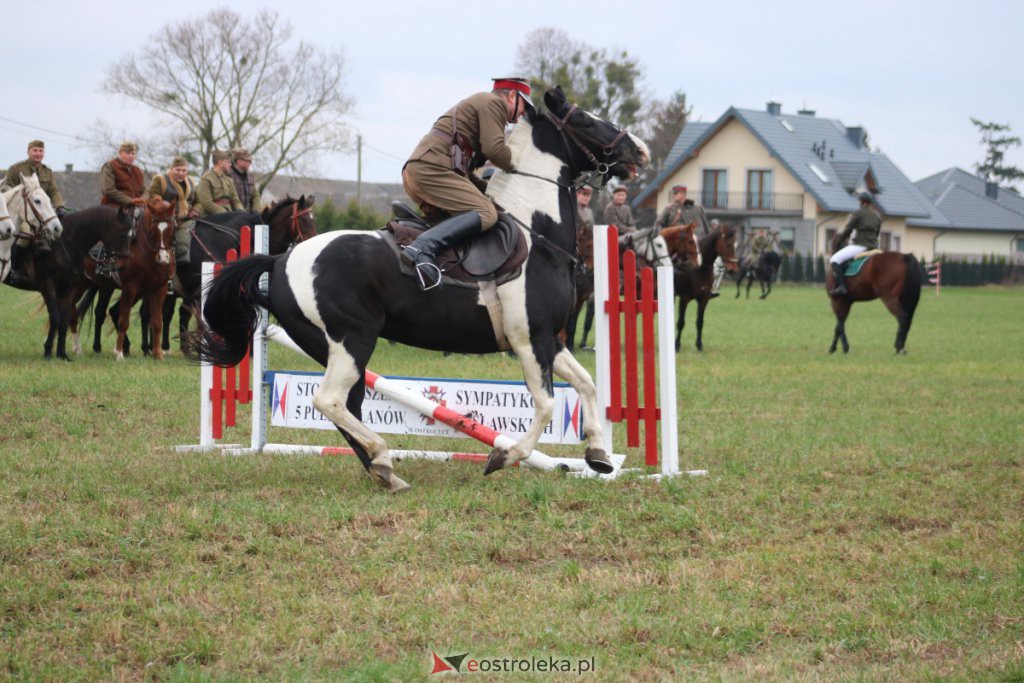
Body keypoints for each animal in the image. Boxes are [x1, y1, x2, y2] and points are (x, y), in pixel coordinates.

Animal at [192, 89, 647, 491]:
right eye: (587, 120)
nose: (640, 151)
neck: (536, 232)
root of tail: (280, 260)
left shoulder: (551, 339)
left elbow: (587, 384)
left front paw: (598, 455)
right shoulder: (529, 340)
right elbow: (548, 403)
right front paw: (504, 456)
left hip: (331, 347)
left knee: (348, 406)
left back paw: (383, 471)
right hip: (352, 340)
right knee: (330, 402)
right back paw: (383, 456)